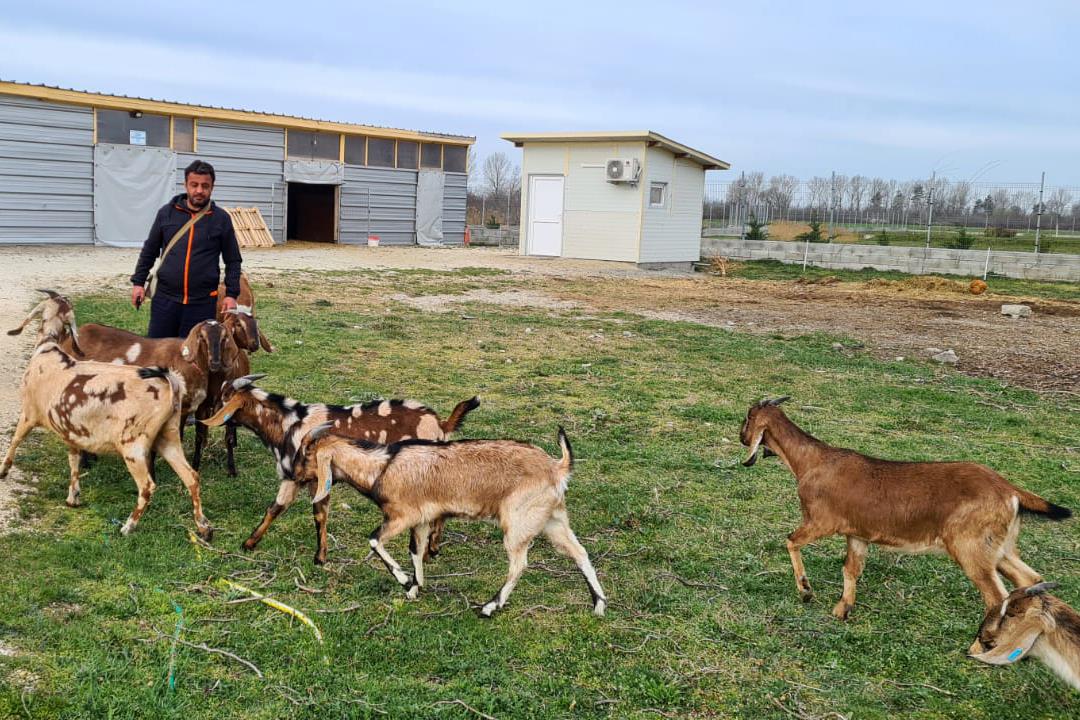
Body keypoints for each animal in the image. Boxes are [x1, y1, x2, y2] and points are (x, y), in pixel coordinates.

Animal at [200, 375, 479, 561]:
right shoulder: (293, 477)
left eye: (224, 398)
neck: (289, 424)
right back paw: (432, 549)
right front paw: (249, 542)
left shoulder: (314, 478)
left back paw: (430, 549)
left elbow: (319, 513)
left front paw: (320, 557)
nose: (208, 411)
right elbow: (275, 508)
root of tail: (440, 423)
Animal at [291, 423, 609, 621]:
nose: (292, 474)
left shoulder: (402, 515)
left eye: (307, 453)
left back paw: (490, 606)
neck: (382, 467)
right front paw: (415, 587)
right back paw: (598, 604)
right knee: (579, 552)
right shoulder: (422, 519)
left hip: (518, 521)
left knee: (519, 564)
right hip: (553, 519)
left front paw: (404, 581)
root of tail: (557, 467)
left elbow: (374, 539)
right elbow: (415, 550)